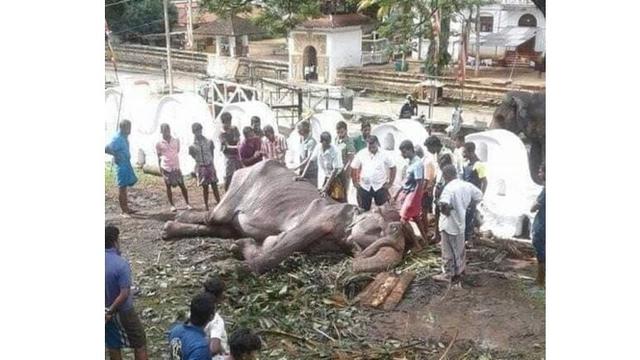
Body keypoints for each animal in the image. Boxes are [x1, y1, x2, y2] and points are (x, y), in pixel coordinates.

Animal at [162, 160, 418, 272]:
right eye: (384, 228)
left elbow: (272, 242)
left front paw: (239, 247)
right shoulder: (321, 214)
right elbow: (286, 243)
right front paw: (230, 267)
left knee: (222, 228)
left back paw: (170, 228)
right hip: (237, 188)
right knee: (214, 217)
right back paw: (173, 222)